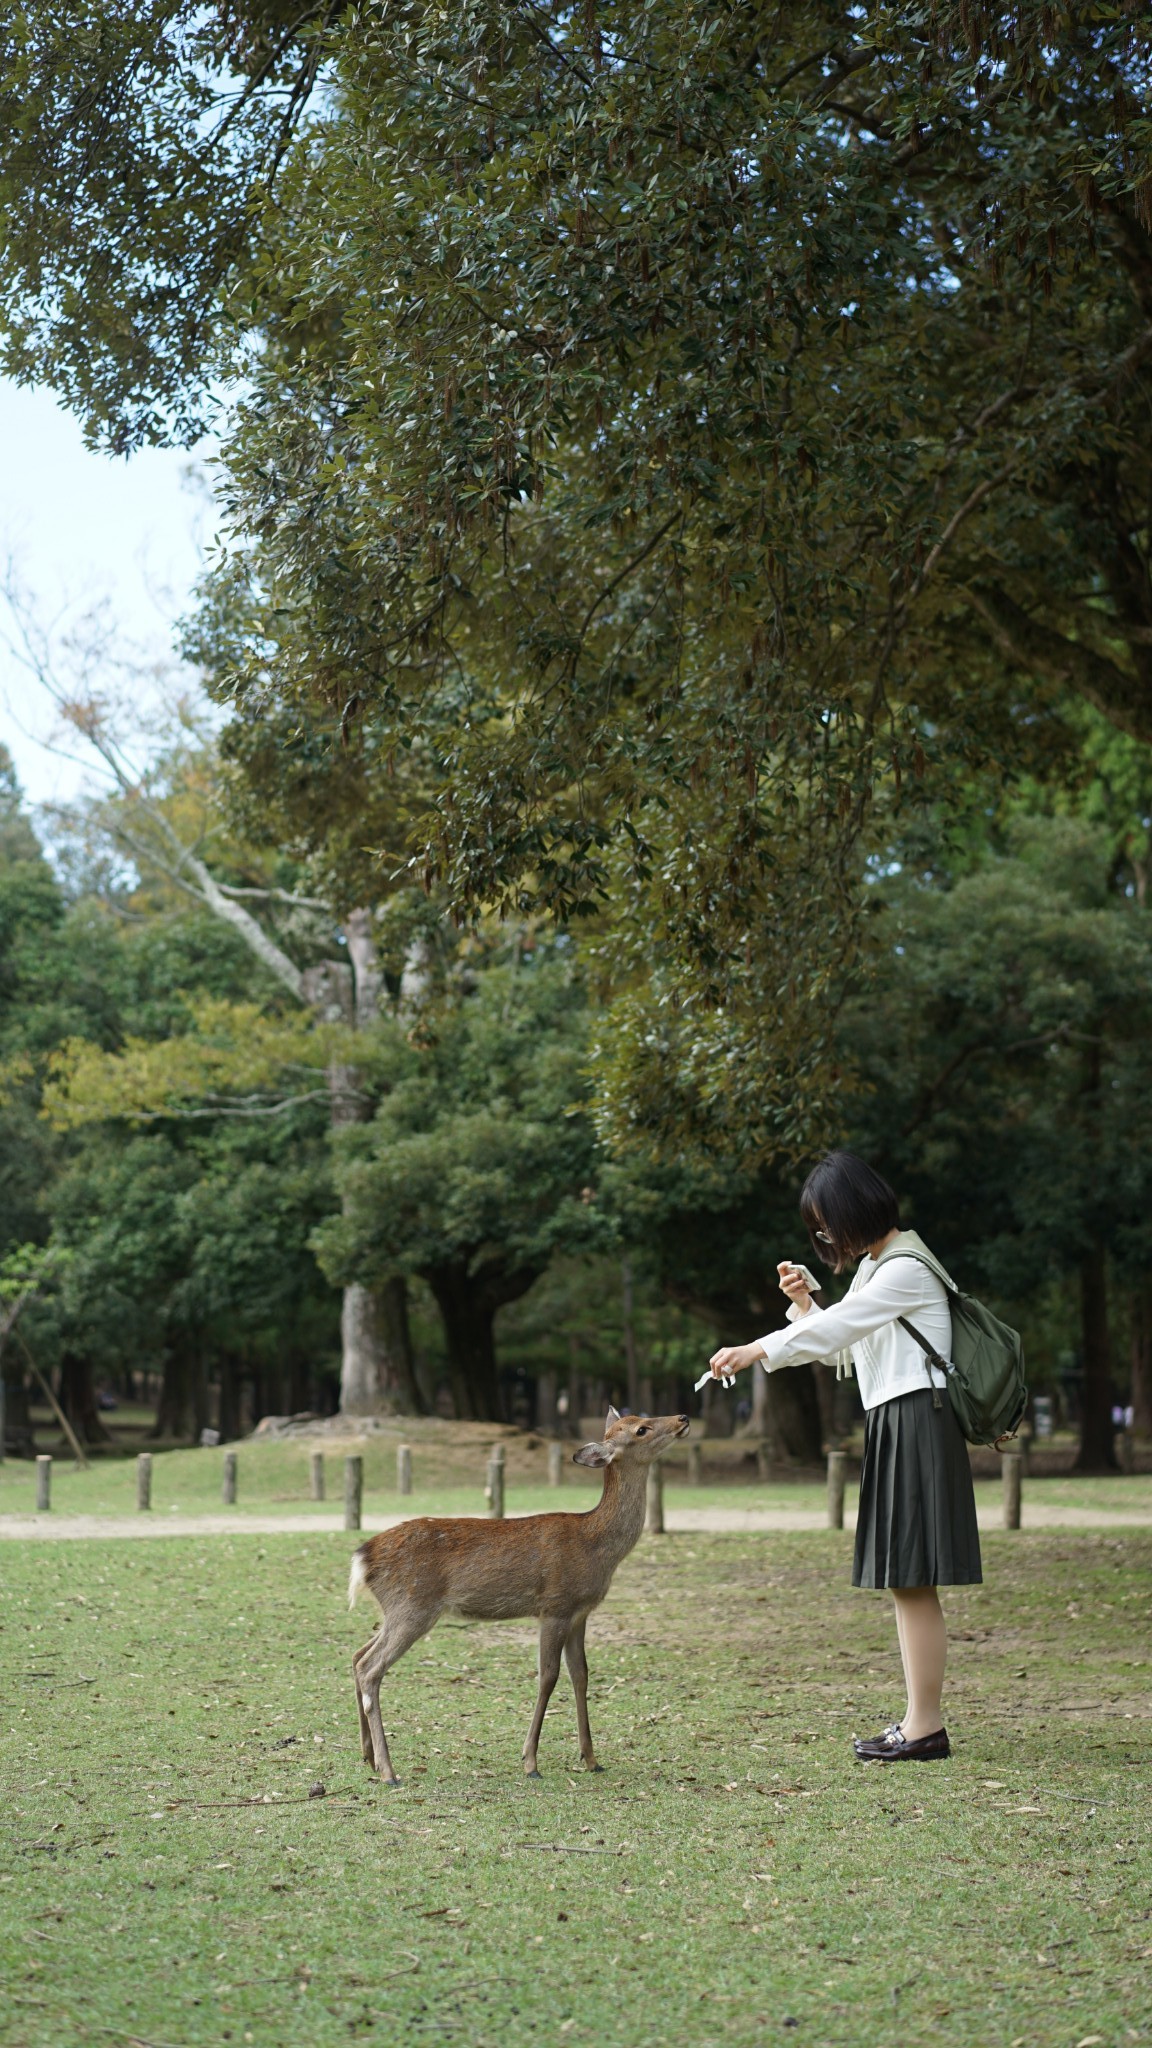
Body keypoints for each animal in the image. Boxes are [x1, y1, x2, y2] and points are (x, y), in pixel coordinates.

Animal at [344, 1409, 684, 1777]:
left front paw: (592, 1759)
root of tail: (362, 1557)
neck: (596, 1546)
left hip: (395, 1610)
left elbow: (581, 1674)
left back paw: (368, 1757)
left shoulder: (580, 1612)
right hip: (413, 1606)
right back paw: (389, 1771)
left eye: (642, 1419)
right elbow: (548, 1676)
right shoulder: (555, 1606)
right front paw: (530, 1761)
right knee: (371, 1667)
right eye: (641, 1429)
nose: (682, 1417)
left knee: (358, 1655)